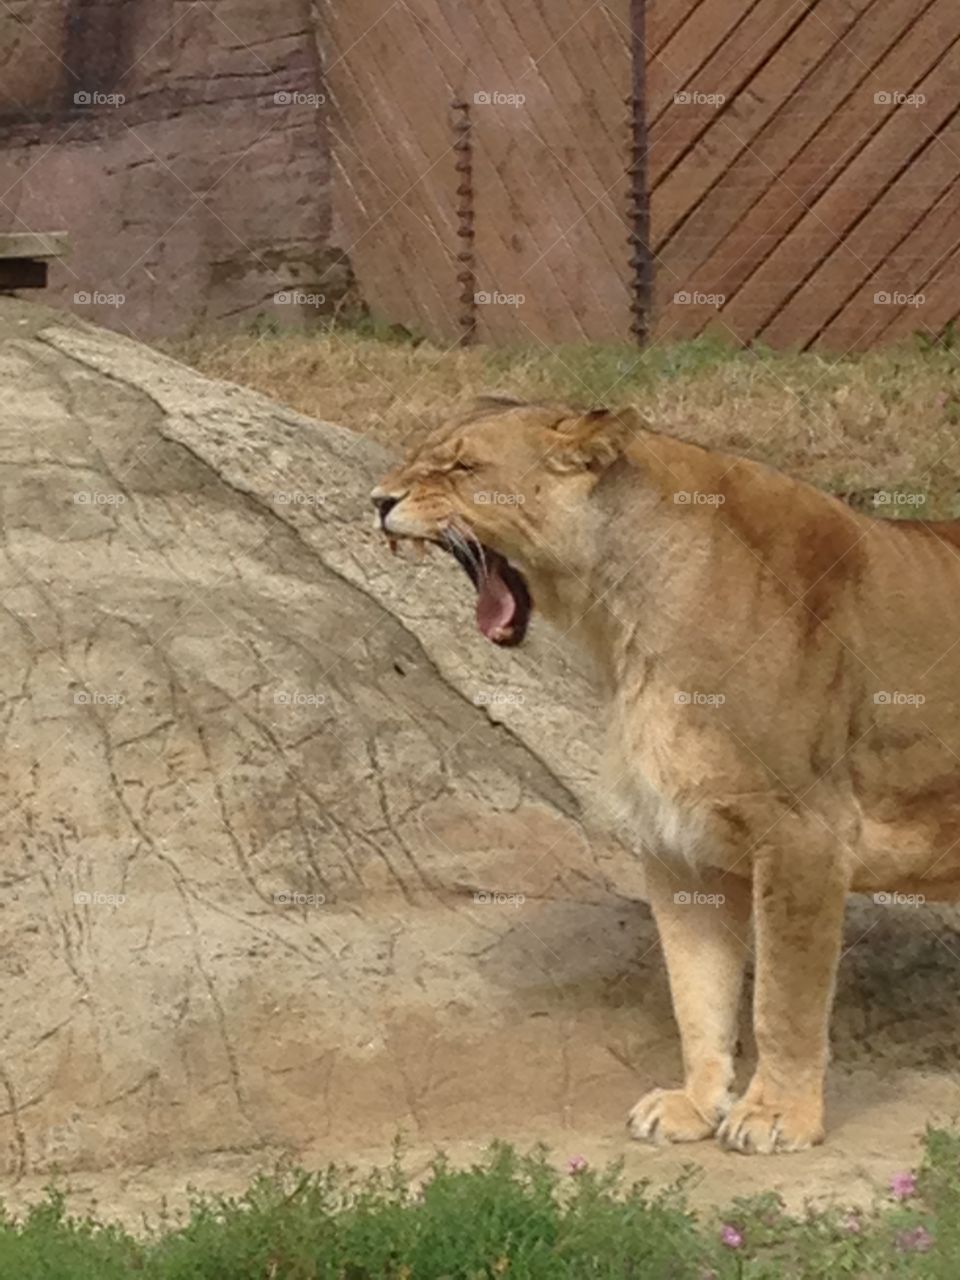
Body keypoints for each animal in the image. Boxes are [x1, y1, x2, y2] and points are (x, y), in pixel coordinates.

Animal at [371, 397, 960, 1154]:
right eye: (419, 455)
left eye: (461, 466)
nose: (378, 500)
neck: (623, 621)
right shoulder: (681, 846)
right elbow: (698, 993)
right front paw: (696, 1105)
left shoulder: (806, 829)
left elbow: (783, 998)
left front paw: (776, 1116)